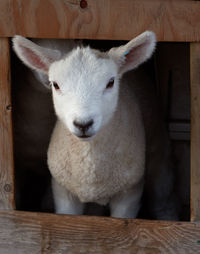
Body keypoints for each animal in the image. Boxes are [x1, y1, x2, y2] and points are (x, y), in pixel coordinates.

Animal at [12, 31, 178, 218]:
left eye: (111, 82)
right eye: (56, 85)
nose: (83, 124)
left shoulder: (129, 193)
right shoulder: (64, 192)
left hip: (159, 154)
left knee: (164, 200)